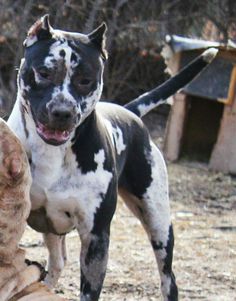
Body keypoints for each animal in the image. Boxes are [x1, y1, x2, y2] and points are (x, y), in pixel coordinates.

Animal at [7, 15, 218, 300]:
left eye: (85, 80)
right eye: (44, 72)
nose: (62, 112)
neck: (52, 152)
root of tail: (130, 112)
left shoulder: (96, 238)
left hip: (159, 224)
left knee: (168, 278)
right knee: (57, 262)